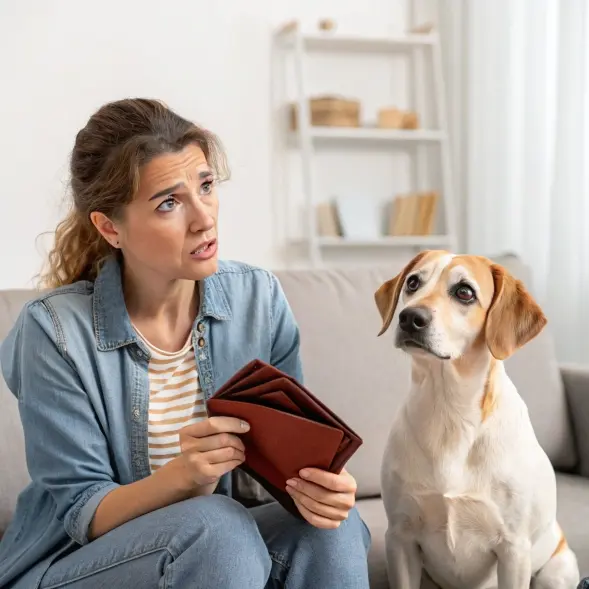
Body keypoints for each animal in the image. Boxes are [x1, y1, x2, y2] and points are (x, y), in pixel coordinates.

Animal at [374, 250, 576, 588]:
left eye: (464, 292)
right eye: (413, 282)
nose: (409, 318)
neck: (449, 412)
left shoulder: (513, 550)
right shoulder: (400, 539)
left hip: (556, 572)